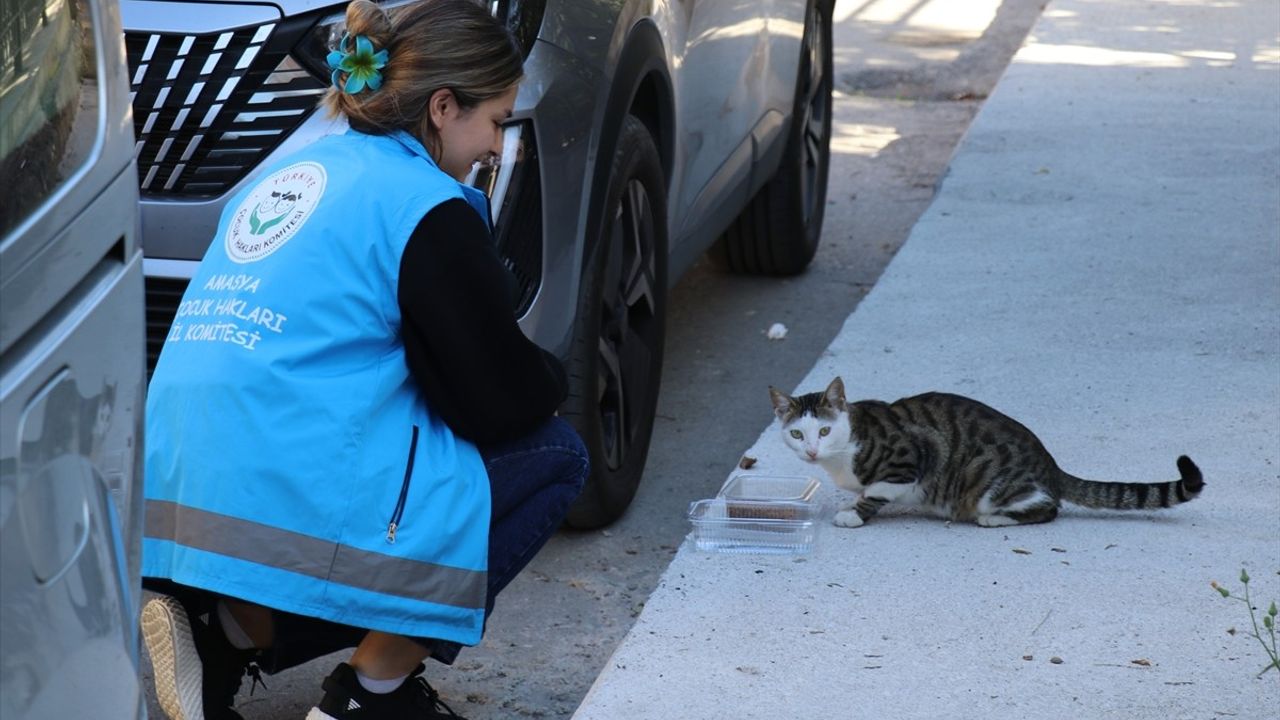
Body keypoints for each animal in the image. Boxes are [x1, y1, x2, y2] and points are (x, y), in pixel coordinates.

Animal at [773, 376, 1203, 527]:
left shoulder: (910, 461)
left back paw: (995, 519)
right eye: (796, 434)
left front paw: (854, 514)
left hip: (990, 487)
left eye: (824, 430)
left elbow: (877, 492)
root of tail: (1051, 465)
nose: (811, 451)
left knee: (1048, 509)